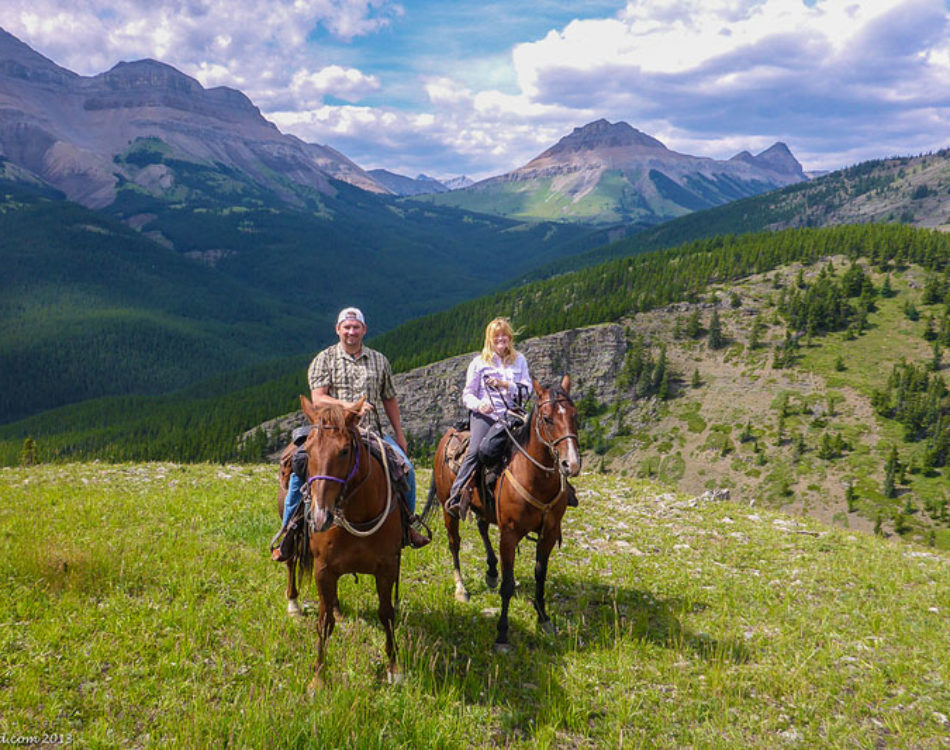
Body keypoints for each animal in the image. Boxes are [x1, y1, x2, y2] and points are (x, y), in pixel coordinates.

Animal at [282, 396, 402, 692]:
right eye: (308, 451)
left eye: (345, 451)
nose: (319, 516)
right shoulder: (323, 569)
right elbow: (323, 623)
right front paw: (318, 678)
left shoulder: (387, 569)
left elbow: (387, 615)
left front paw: (395, 669)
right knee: (290, 563)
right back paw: (293, 604)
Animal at [432, 376, 580, 652]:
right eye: (547, 419)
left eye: (575, 415)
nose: (571, 464)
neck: (534, 477)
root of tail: (449, 434)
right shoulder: (509, 535)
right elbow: (508, 585)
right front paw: (502, 633)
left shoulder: (549, 533)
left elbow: (540, 576)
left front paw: (544, 619)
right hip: (450, 511)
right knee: (454, 543)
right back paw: (461, 588)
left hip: (482, 507)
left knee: (481, 527)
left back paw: (491, 572)